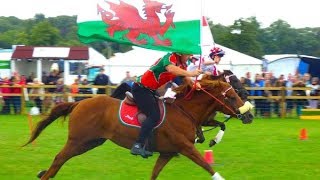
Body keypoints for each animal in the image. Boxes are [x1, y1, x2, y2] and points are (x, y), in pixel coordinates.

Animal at [23, 76, 252, 180]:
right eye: (232, 96)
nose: (249, 115)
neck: (184, 111)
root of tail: (79, 103)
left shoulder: (168, 153)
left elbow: (154, 174)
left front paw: (213, 138)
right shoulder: (186, 148)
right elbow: (207, 166)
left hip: (90, 142)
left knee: (60, 161)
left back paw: (44, 173)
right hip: (78, 140)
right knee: (59, 159)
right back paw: (45, 174)